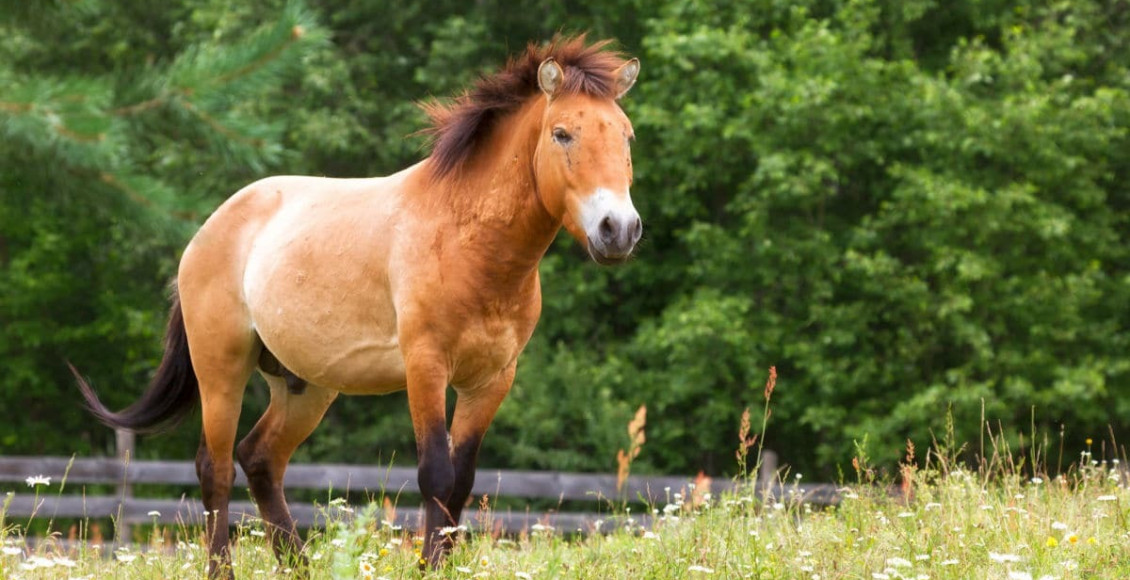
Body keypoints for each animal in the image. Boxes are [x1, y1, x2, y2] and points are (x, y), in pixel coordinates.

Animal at [74, 35, 641, 578]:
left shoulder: (492, 380)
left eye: (626, 136)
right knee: (215, 469)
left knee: (259, 460)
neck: (469, 239)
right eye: (562, 134)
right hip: (222, 367)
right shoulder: (426, 367)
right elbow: (437, 475)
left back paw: (300, 567)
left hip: (305, 385)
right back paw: (223, 572)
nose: (618, 230)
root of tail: (207, 231)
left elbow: (461, 482)